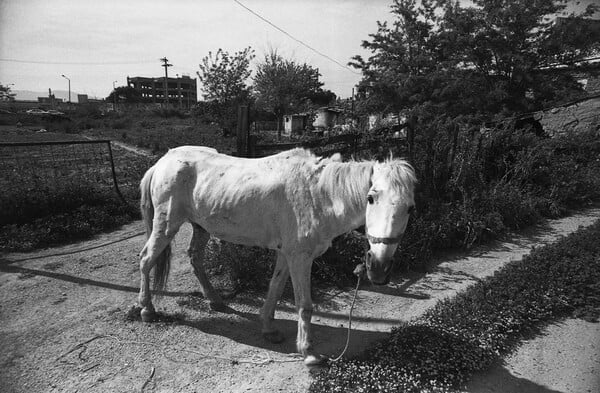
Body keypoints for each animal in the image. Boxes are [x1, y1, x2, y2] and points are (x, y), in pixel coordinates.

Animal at [138, 146, 414, 364]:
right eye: (371, 198)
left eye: (410, 208)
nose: (379, 269)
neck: (317, 195)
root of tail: (162, 162)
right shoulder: (300, 258)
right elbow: (304, 305)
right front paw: (308, 352)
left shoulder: (286, 254)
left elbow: (275, 288)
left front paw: (269, 328)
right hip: (166, 226)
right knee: (145, 260)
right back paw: (147, 310)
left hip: (201, 228)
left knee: (195, 259)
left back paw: (215, 301)